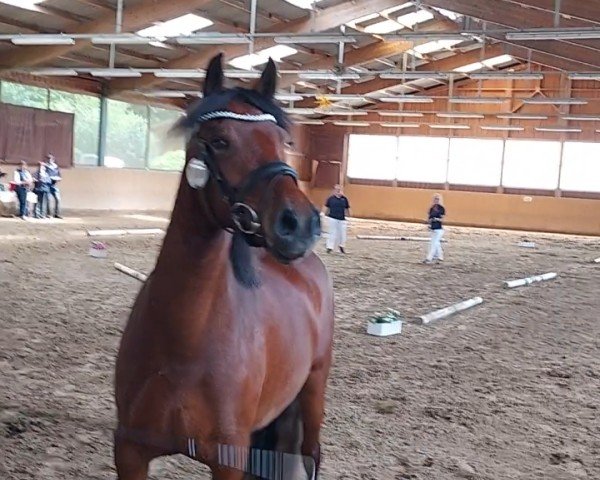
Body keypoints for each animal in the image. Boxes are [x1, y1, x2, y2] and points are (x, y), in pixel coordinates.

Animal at [115, 53, 336, 480]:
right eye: (220, 141)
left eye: (284, 143)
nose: (300, 225)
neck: (185, 341)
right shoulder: (130, 452)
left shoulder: (228, 459)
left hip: (314, 388)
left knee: (312, 453)